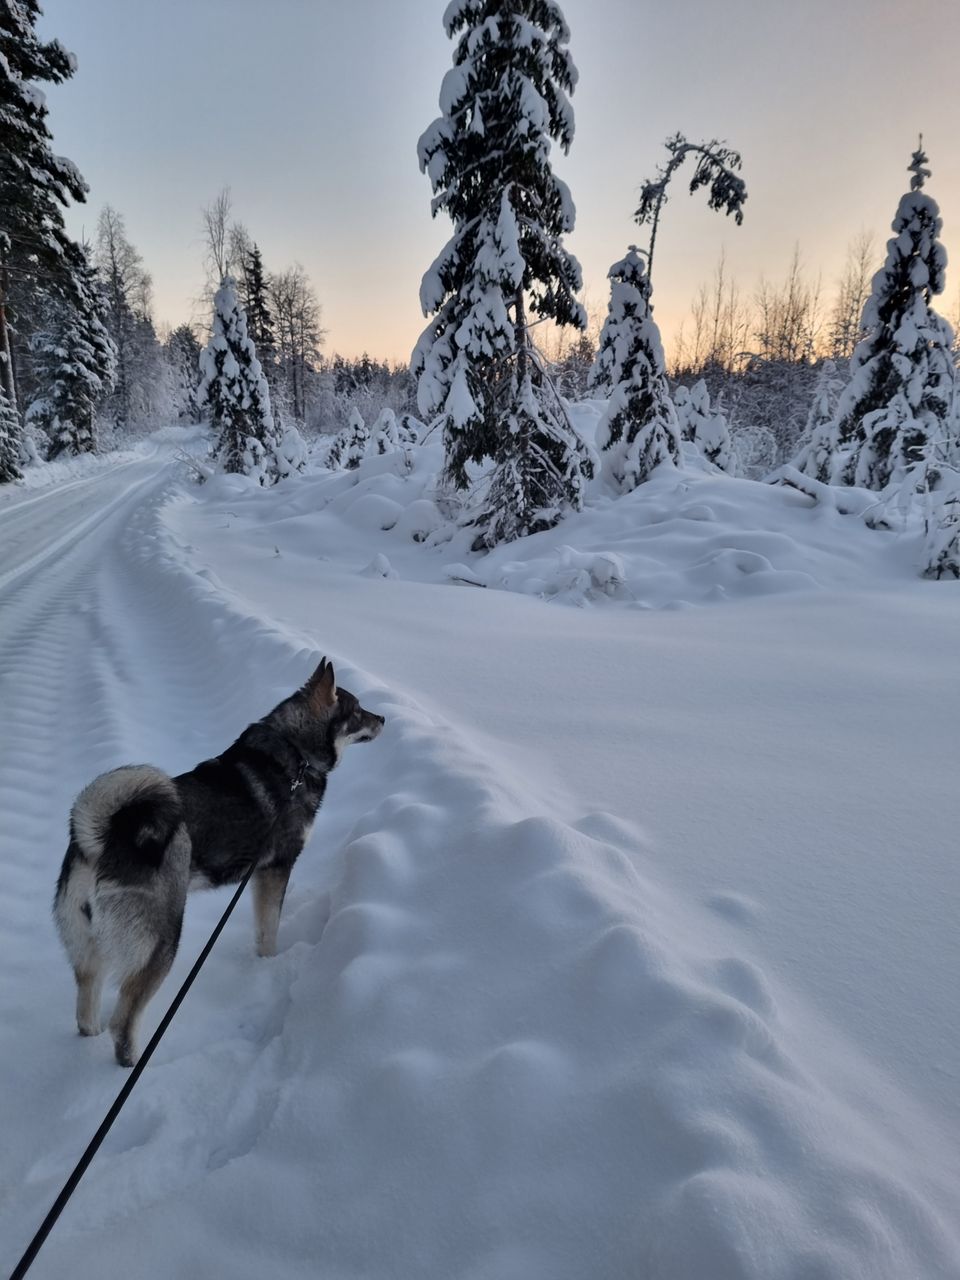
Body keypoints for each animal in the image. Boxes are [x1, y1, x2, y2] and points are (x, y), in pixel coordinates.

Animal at [54, 660, 381, 1070]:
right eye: (358, 710)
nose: (384, 718)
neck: (296, 752)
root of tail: (100, 838)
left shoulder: (258, 875)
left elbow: (261, 925)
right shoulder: (277, 868)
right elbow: (269, 929)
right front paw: (269, 964)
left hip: (88, 947)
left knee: (86, 1004)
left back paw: (89, 1039)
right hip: (161, 942)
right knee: (124, 1019)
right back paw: (133, 1061)